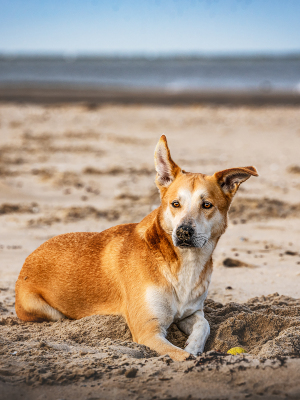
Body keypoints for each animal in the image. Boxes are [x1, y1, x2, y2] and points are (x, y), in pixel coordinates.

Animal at [14, 136, 258, 360]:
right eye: (175, 204)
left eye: (207, 205)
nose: (183, 232)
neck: (181, 263)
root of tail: (28, 259)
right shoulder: (147, 331)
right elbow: (180, 355)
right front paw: (192, 357)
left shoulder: (192, 311)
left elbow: (204, 325)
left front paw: (193, 347)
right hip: (43, 309)